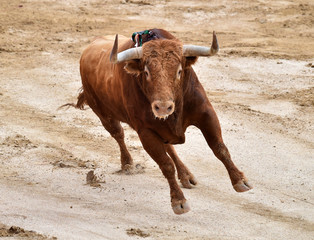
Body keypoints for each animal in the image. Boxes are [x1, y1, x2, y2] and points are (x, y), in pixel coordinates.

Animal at [72, 29, 253, 215]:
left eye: (179, 71)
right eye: (146, 73)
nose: (163, 107)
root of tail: (88, 50)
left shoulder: (206, 114)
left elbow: (220, 148)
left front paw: (240, 181)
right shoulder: (145, 132)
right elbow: (166, 165)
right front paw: (179, 202)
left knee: (169, 146)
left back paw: (186, 176)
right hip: (103, 114)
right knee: (118, 134)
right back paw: (127, 164)